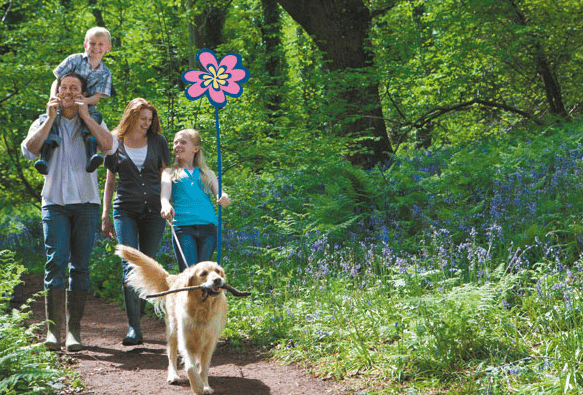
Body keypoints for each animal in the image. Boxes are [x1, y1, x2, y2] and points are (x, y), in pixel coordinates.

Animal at [116, 246, 228, 394]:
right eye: (203, 273)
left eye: (218, 271)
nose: (218, 280)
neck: (202, 308)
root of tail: (173, 278)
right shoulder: (185, 340)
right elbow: (190, 367)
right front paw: (197, 387)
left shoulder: (209, 343)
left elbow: (204, 368)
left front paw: (205, 386)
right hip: (173, 330)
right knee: (171, 355)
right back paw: (173, 376)